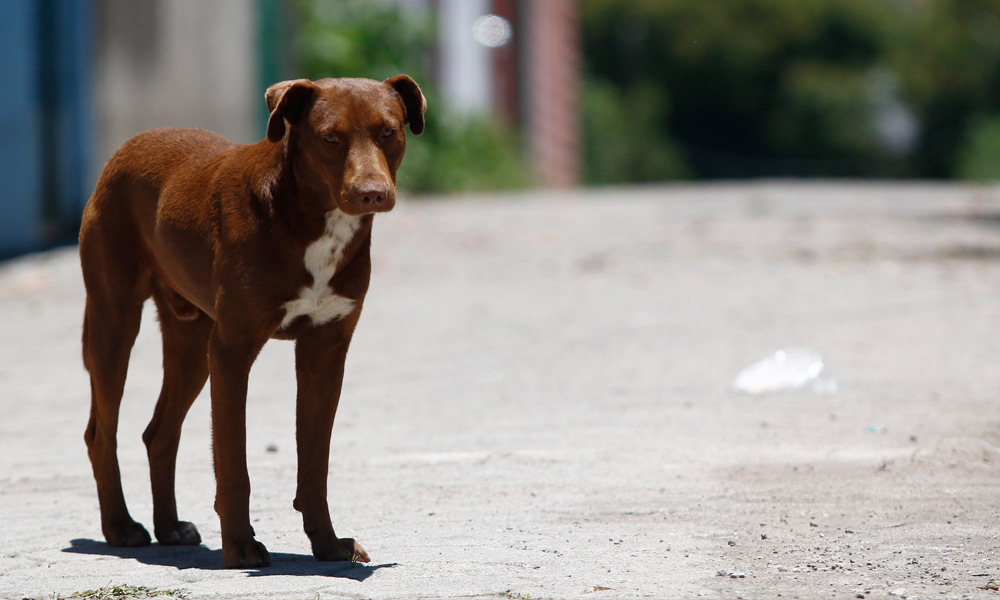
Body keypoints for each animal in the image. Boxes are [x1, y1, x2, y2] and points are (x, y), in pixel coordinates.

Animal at [77, 75, 422, 568]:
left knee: (159, 432)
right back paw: (121, 527)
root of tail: (129, 145)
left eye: (388, 132)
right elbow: (232, 461)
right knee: (101, 434)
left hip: (192, 341)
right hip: (114, 319)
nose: (371, 192)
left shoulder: (325, 351)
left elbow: (315, 461)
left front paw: (328, 542)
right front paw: (240, 546)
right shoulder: (232, 350)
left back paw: (169, 527)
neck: (310, 220)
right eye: (330, 138)